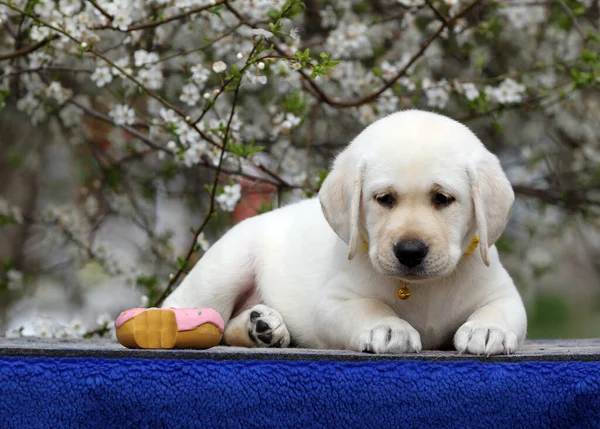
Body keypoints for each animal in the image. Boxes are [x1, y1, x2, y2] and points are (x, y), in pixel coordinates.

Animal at [163, 109, 524, 354]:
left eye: (443, 198)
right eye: (384, 199)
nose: (409, 251)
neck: (423, 289)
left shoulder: (503, 293)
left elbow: (499, 308)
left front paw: (487, 329)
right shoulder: (332, 303)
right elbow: (369, 307)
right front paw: (388, 327)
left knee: (230, 326)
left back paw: (263, 326)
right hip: (223, 272)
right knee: (195, 312)